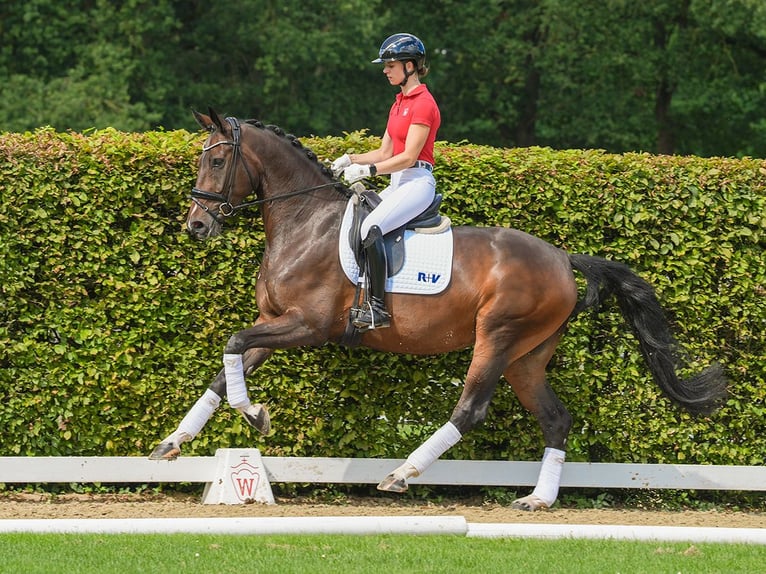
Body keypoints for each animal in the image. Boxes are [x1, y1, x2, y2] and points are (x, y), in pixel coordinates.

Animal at [148, 109, 728, 512]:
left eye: (217, 160)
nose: (196, 226)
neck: (304, 221)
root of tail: (563, 258)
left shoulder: (305, 326)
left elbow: (233, 345)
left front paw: (254, 415)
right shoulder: (274, 324)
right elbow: (227, 368)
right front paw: (173, 442)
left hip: (497, 336)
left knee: (469, 409)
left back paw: (402, 474)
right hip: (527, 355)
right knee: (555, 418)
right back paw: (537, 499)